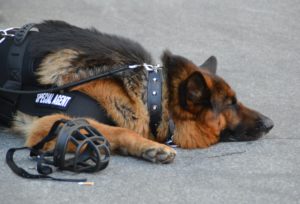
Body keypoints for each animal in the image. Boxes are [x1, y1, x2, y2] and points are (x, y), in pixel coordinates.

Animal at [8, 21, 272, 164]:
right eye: (230, 104)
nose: (270, 123)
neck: (152, 96)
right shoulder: (52, 124)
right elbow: (117, 129)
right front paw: (150, 147)